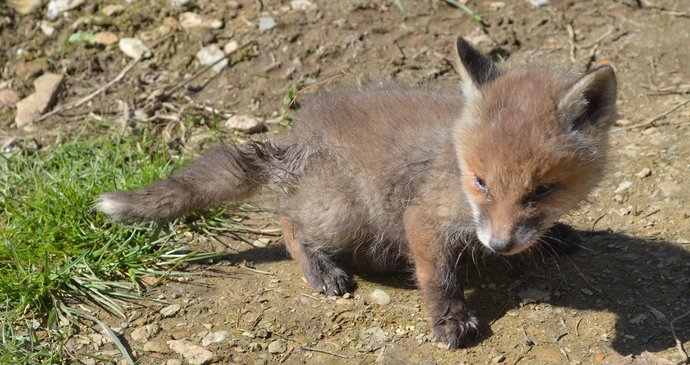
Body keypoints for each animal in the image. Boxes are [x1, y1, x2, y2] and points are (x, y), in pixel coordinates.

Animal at [94, 37, 616, 346]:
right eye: (480, 181)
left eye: (543, 191)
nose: (499, 245)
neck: (452, 158)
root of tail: (294, 143)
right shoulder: (423, 217)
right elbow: (439, 278)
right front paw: (449, 319)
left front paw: (553, 237)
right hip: (341, 213)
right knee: (287, 220)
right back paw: (320, 268)